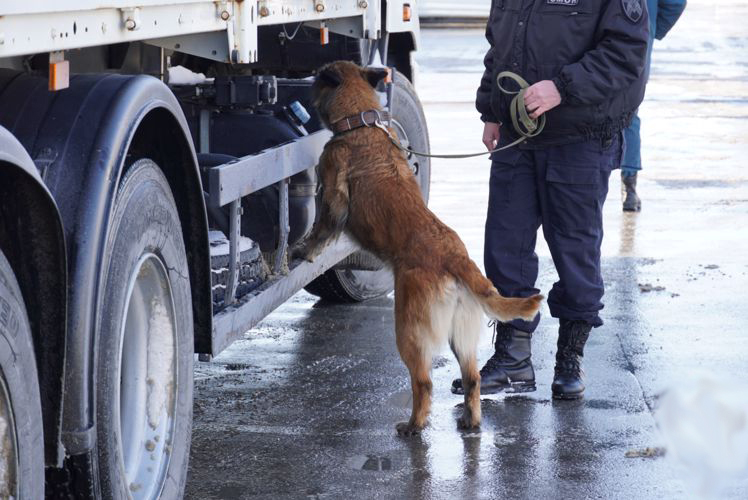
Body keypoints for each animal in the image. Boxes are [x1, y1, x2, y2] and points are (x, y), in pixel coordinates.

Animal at [296, 61, 548, 438]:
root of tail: (456, 258)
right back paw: (470, 422)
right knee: (472, 379)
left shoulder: (333, 196)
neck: (360, 122)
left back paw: (414, 425)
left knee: (423, 382)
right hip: (461, 335)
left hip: (409, 330)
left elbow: (320, 230)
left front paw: (304, 251)